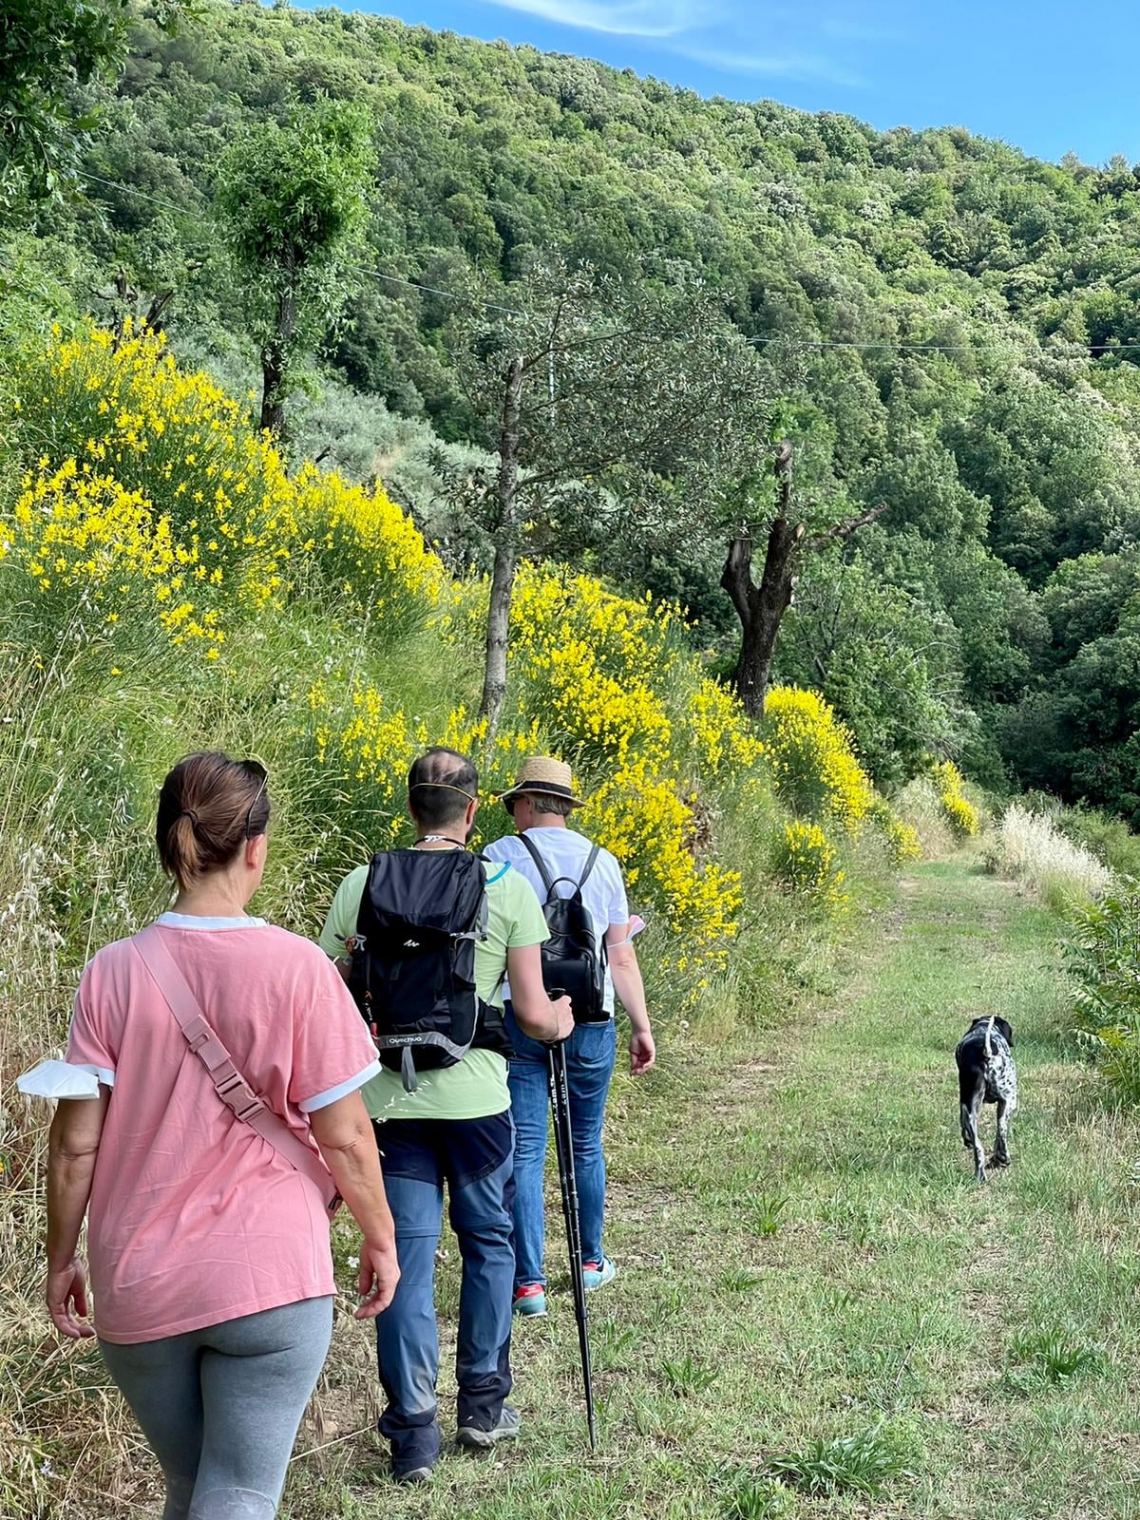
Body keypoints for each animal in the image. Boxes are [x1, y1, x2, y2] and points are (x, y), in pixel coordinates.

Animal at [954, 1015, 1015, 1179]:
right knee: (1001, 1132)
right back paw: (1001, 1159)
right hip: (1008, 1102)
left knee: (979, 1147)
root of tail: (986, 1054)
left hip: (970, 1110)